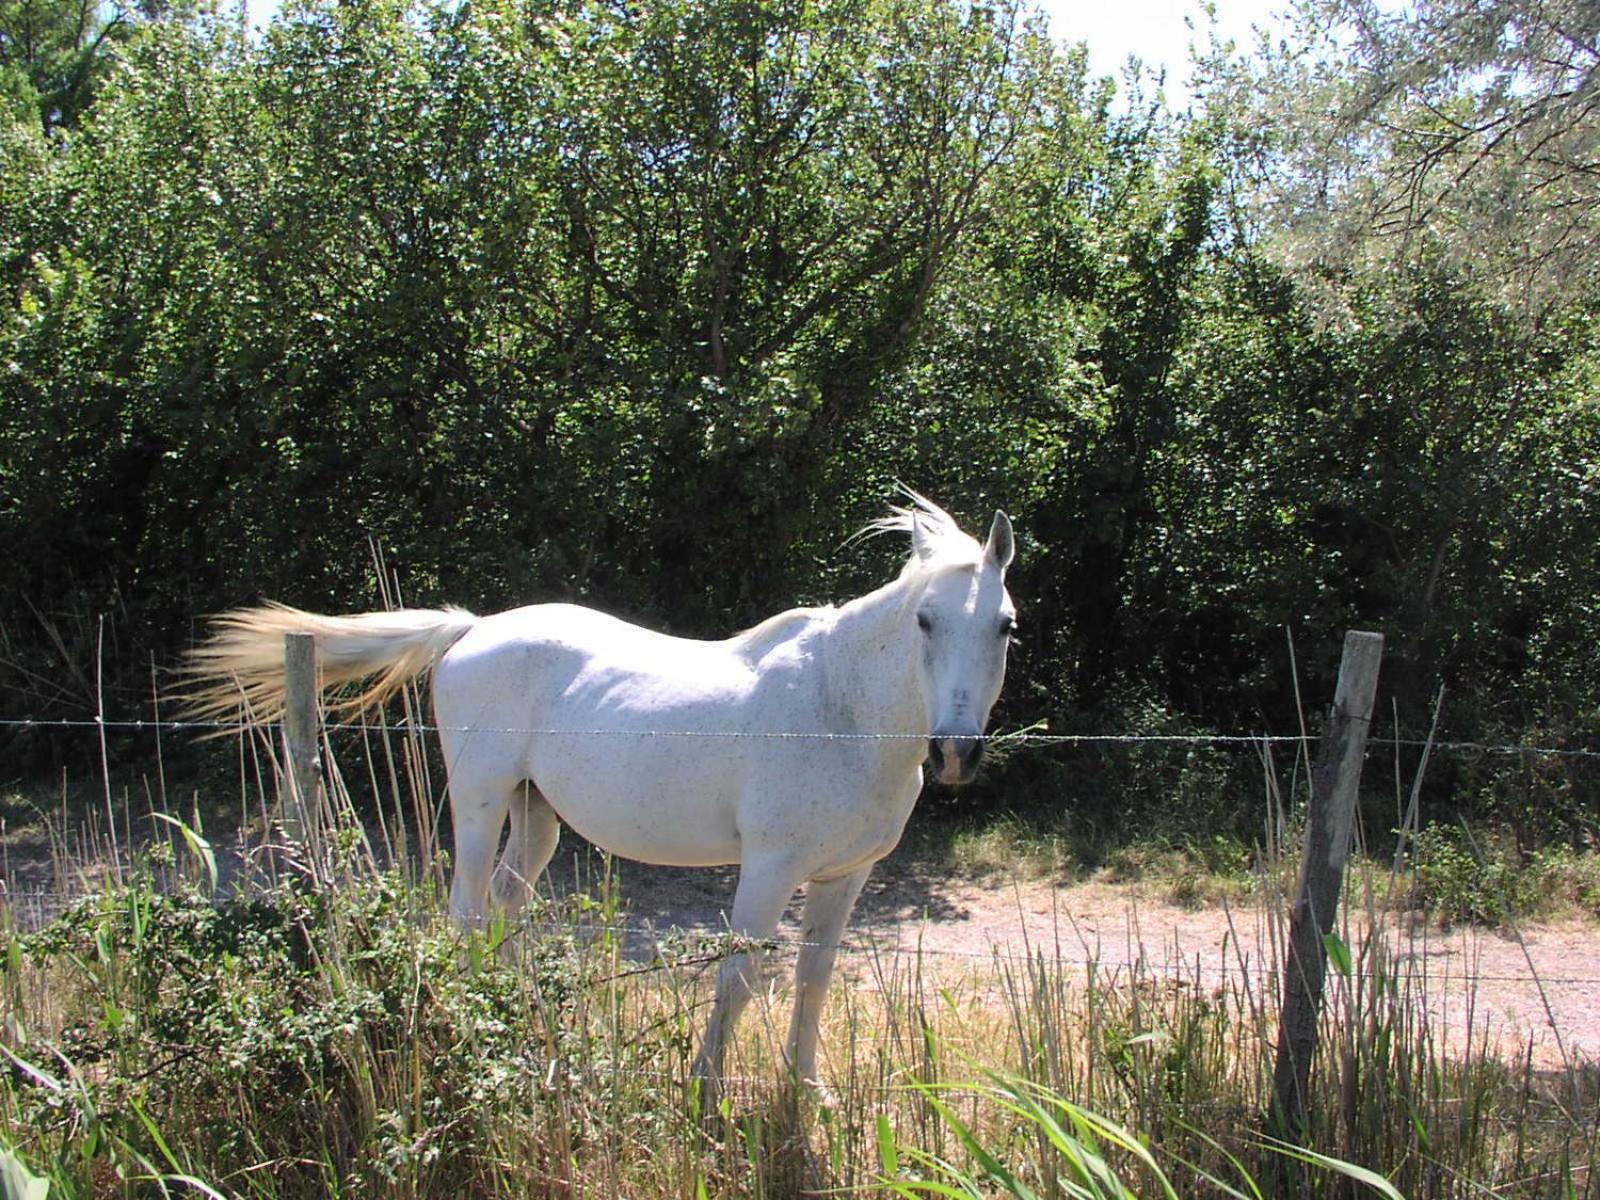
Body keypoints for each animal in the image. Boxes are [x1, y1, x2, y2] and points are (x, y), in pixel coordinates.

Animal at [187, 492, 1011, 1094]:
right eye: (925, 620)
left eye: (1004, 625)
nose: (955, 752)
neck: (839, 708)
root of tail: (473, 630)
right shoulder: (770, 869)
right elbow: (740, 977)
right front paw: (706, 1093)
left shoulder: (846, 876)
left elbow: (813, 980)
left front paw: (807, 1090)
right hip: (480, 800)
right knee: (467, 911)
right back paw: (474, 1021)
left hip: (537, 816)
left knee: (506, 908)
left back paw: (514, 1024)